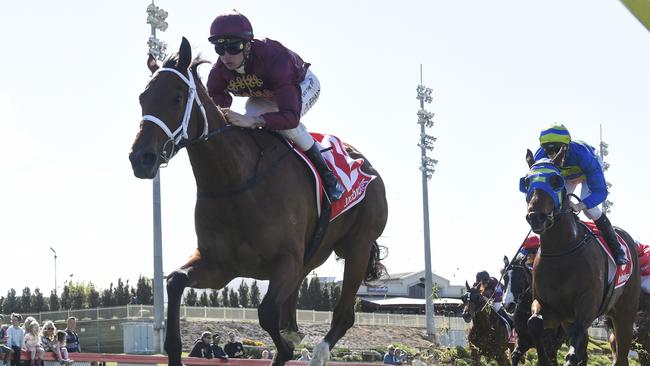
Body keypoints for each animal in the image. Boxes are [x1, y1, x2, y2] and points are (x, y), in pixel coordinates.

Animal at [129, 38, 388, 366]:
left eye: (176, 98)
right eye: (143, 98)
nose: (141, 159)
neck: (236, 182)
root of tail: (368, 165)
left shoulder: (286, 260)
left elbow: (266, 314)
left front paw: (287, 349)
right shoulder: (221, 265)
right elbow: (175, 281)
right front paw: (174, 351)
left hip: (358, 246)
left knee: (343, 315)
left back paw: (318, 355)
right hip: (314, 255)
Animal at [516, 147, 636, 364]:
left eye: (556, 181)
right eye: (527, 182)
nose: (535, 217)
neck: (561, 251)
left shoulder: (587, 306)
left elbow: (578, 337)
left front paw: (570, 358)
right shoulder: (552, 310)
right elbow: (534, 323)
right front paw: (545, 360)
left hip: (625, 313)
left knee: (621, 355)